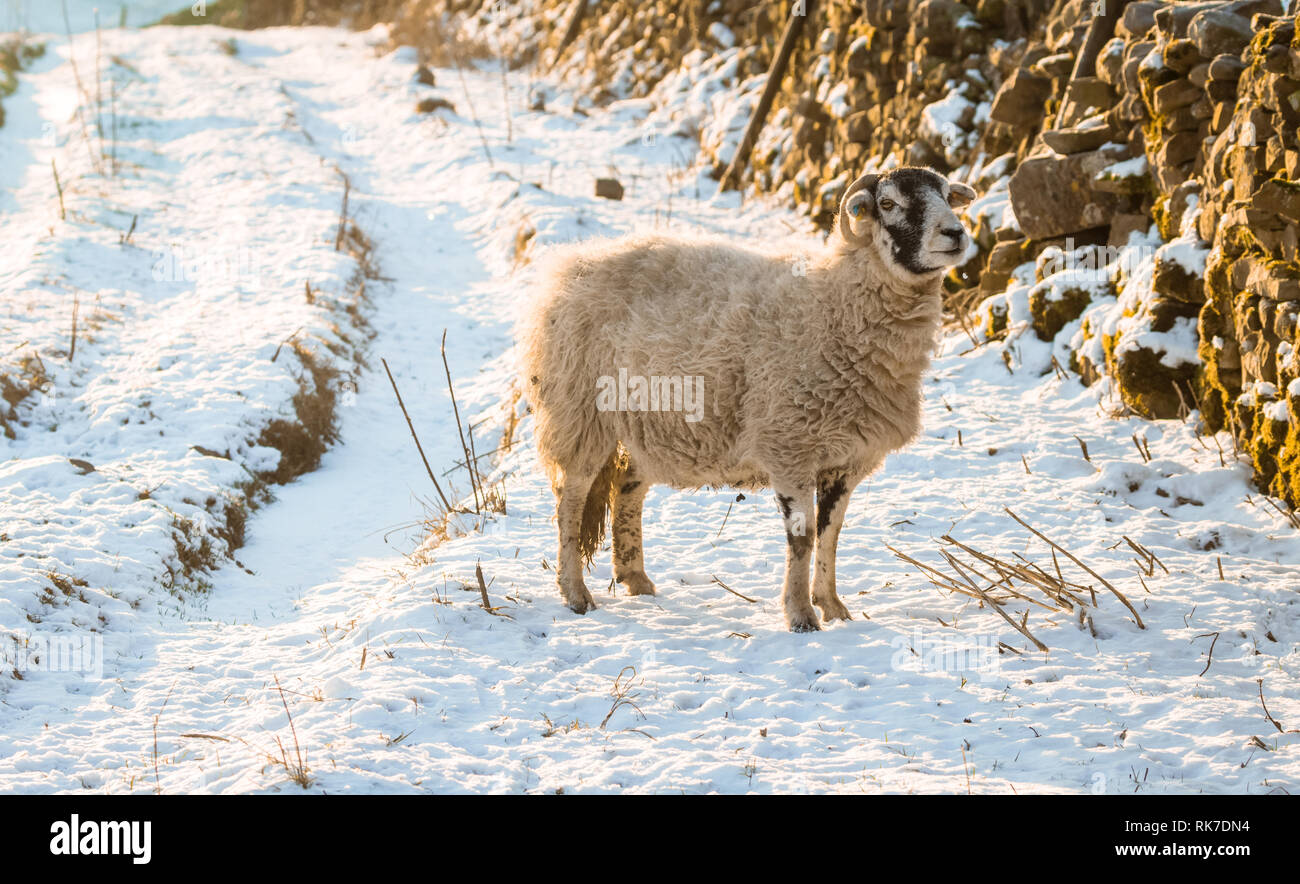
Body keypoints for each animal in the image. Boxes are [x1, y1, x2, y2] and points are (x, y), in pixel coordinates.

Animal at [517, 166, 976, 631]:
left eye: (946, 196)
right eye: (888, 203)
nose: (955, 233)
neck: (835, 306)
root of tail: (573, 263)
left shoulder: (846, 459)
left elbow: (830, 535)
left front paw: (832, 607)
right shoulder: (789, 446)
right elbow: (802, 538)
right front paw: (802, 616)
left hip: (652, 425)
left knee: (626, 488)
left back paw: (636, 578)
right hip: (580, 409)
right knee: (571, 500)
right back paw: (576, 593)